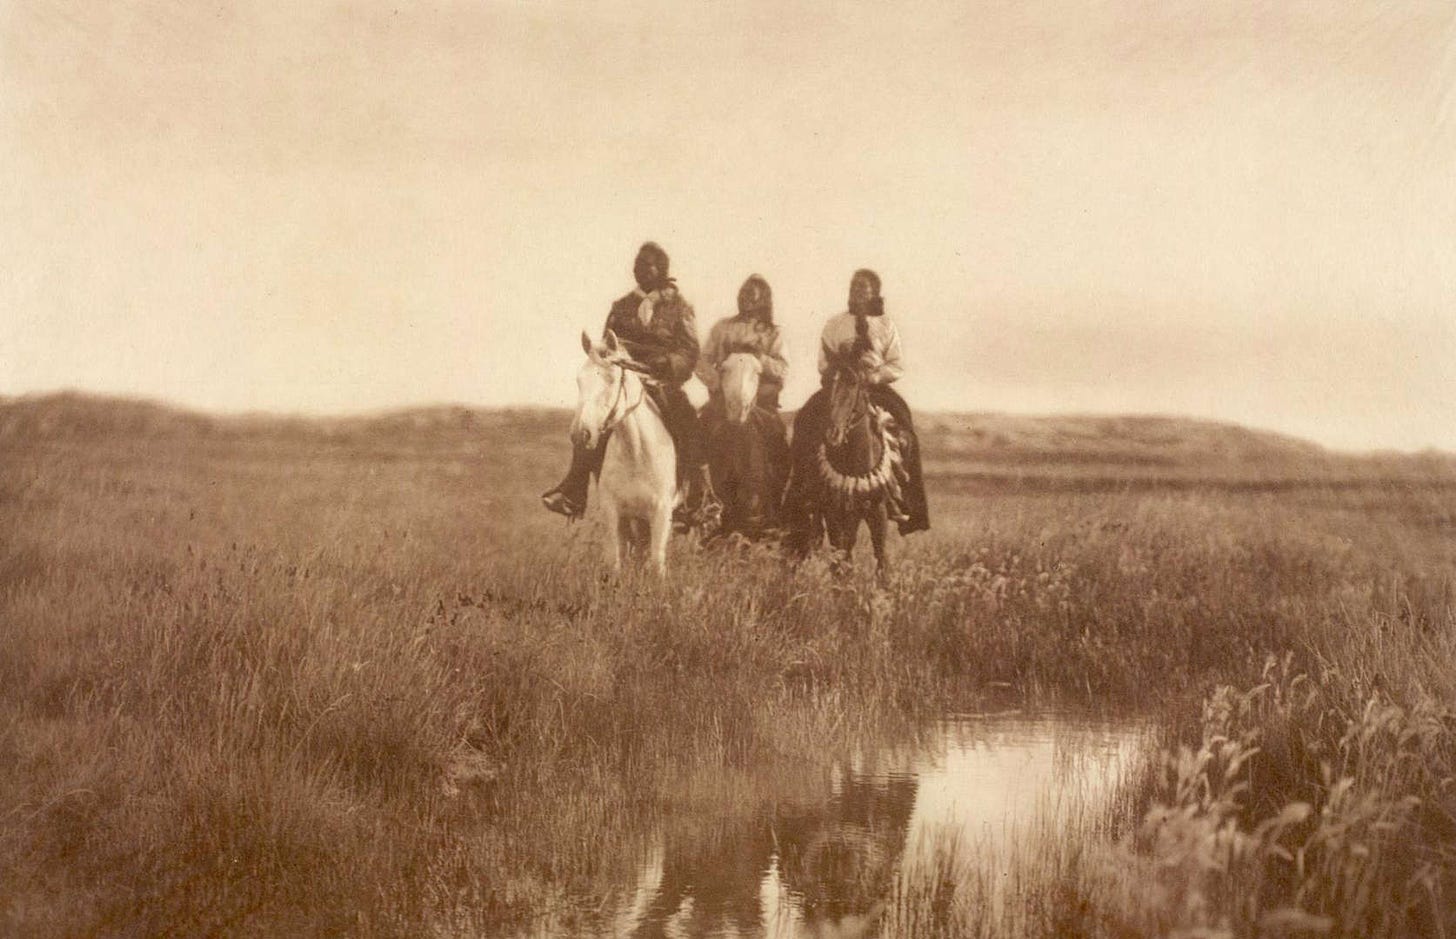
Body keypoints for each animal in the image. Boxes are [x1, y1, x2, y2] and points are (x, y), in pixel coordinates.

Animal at [570, 329, 678, 579]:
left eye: (611, 379)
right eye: (579, 380)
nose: (582, 434)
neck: (637, 453)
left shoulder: (661, 512)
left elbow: (657, 564)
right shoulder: (613, 512)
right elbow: (614, 562)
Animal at [792, 359, 902, 573]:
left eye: (853, 383)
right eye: (827, 383)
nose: (832, 434)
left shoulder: (878, 512)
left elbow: (881, 558)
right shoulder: (833, 512)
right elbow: (840, 558)